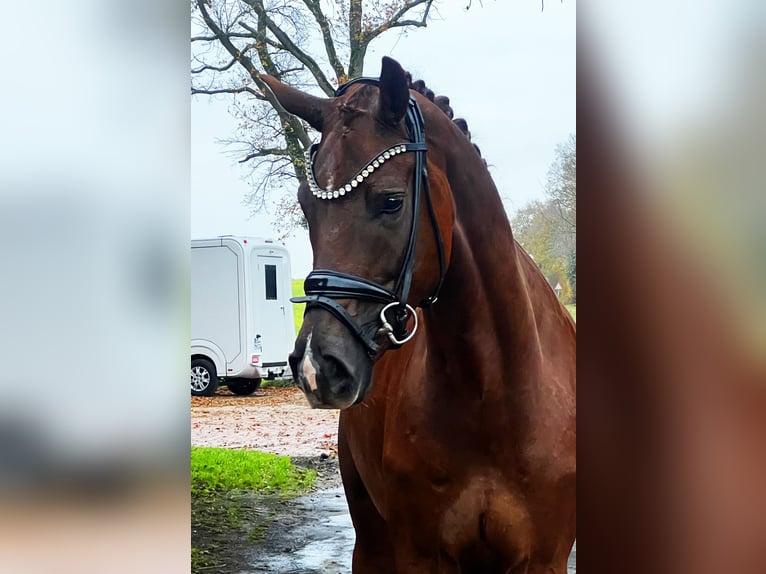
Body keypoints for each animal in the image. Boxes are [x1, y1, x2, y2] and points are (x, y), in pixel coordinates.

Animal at [264, 56, 576, 572]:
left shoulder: (542, 560)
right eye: (306, 206)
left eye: (391, 200)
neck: (492, 397)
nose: (316, 366)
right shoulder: (419, 554)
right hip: (371, 543)